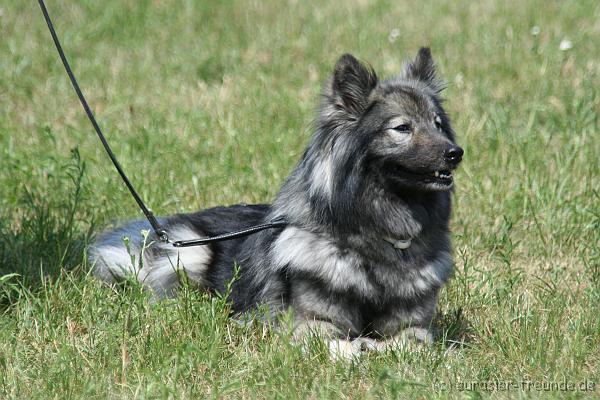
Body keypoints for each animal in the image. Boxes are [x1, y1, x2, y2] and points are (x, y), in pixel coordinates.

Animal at [89, 48, 464, 358]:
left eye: (437, 124)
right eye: (401, 128)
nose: (456, 153)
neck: (376, 239)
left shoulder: (416, 326)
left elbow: (412, 344)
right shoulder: (311, 324)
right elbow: (344, 345)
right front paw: (361, 348)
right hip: (189, 253)